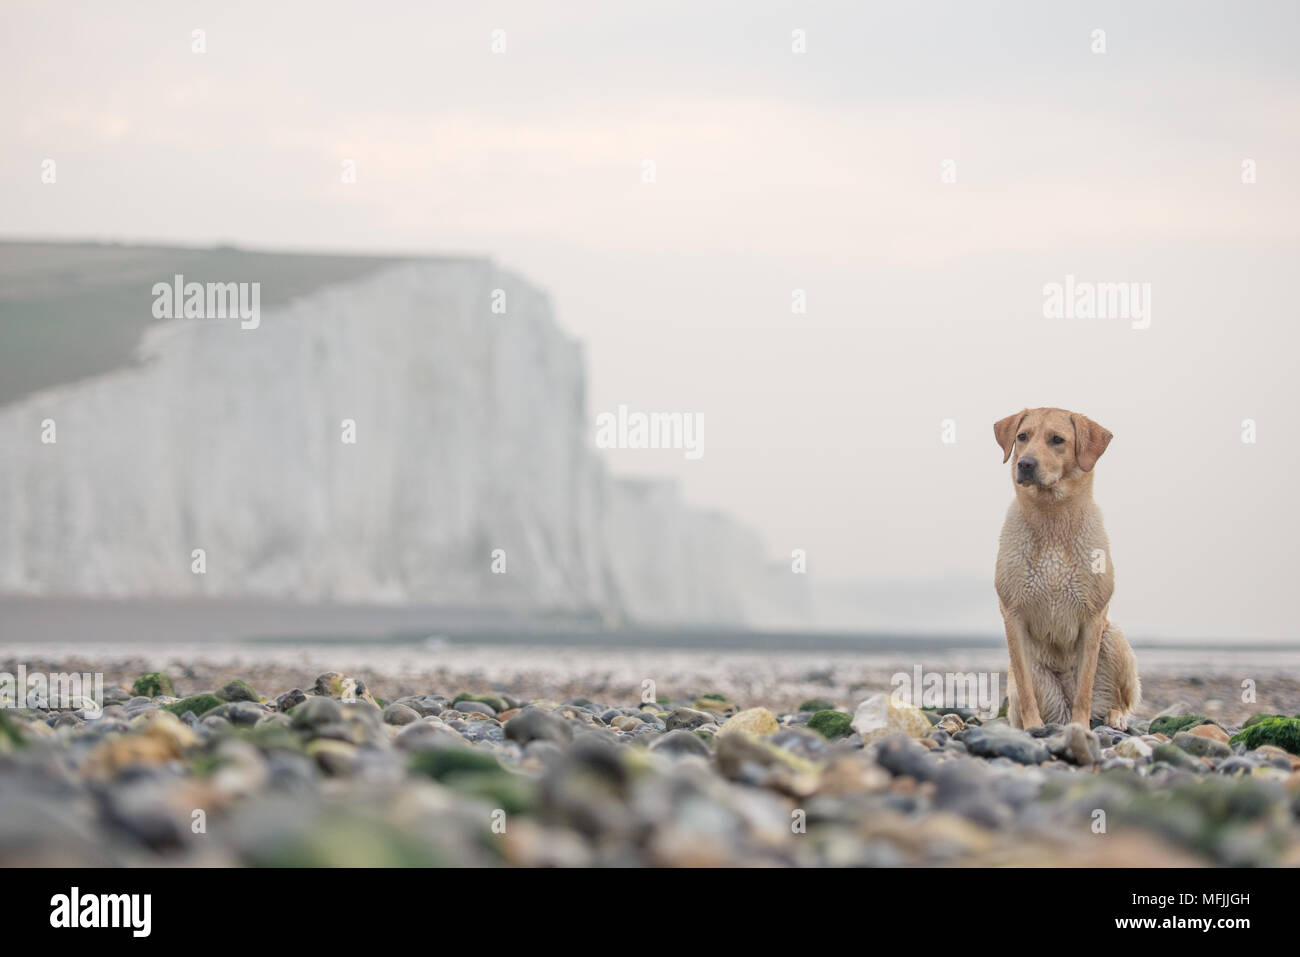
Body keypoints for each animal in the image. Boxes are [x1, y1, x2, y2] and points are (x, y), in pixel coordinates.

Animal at [993, 408, 1138, 728]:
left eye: (1057, 440)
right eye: (1022, 437)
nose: (1025, 464)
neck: (1052, 517)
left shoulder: (1093, 618)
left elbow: (1085, 687)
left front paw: (1080, 727)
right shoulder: (1013, 616)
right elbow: (1026, 689)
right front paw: (1033, 728)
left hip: (1115, 639)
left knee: (1119, 700)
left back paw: (1115, 716)